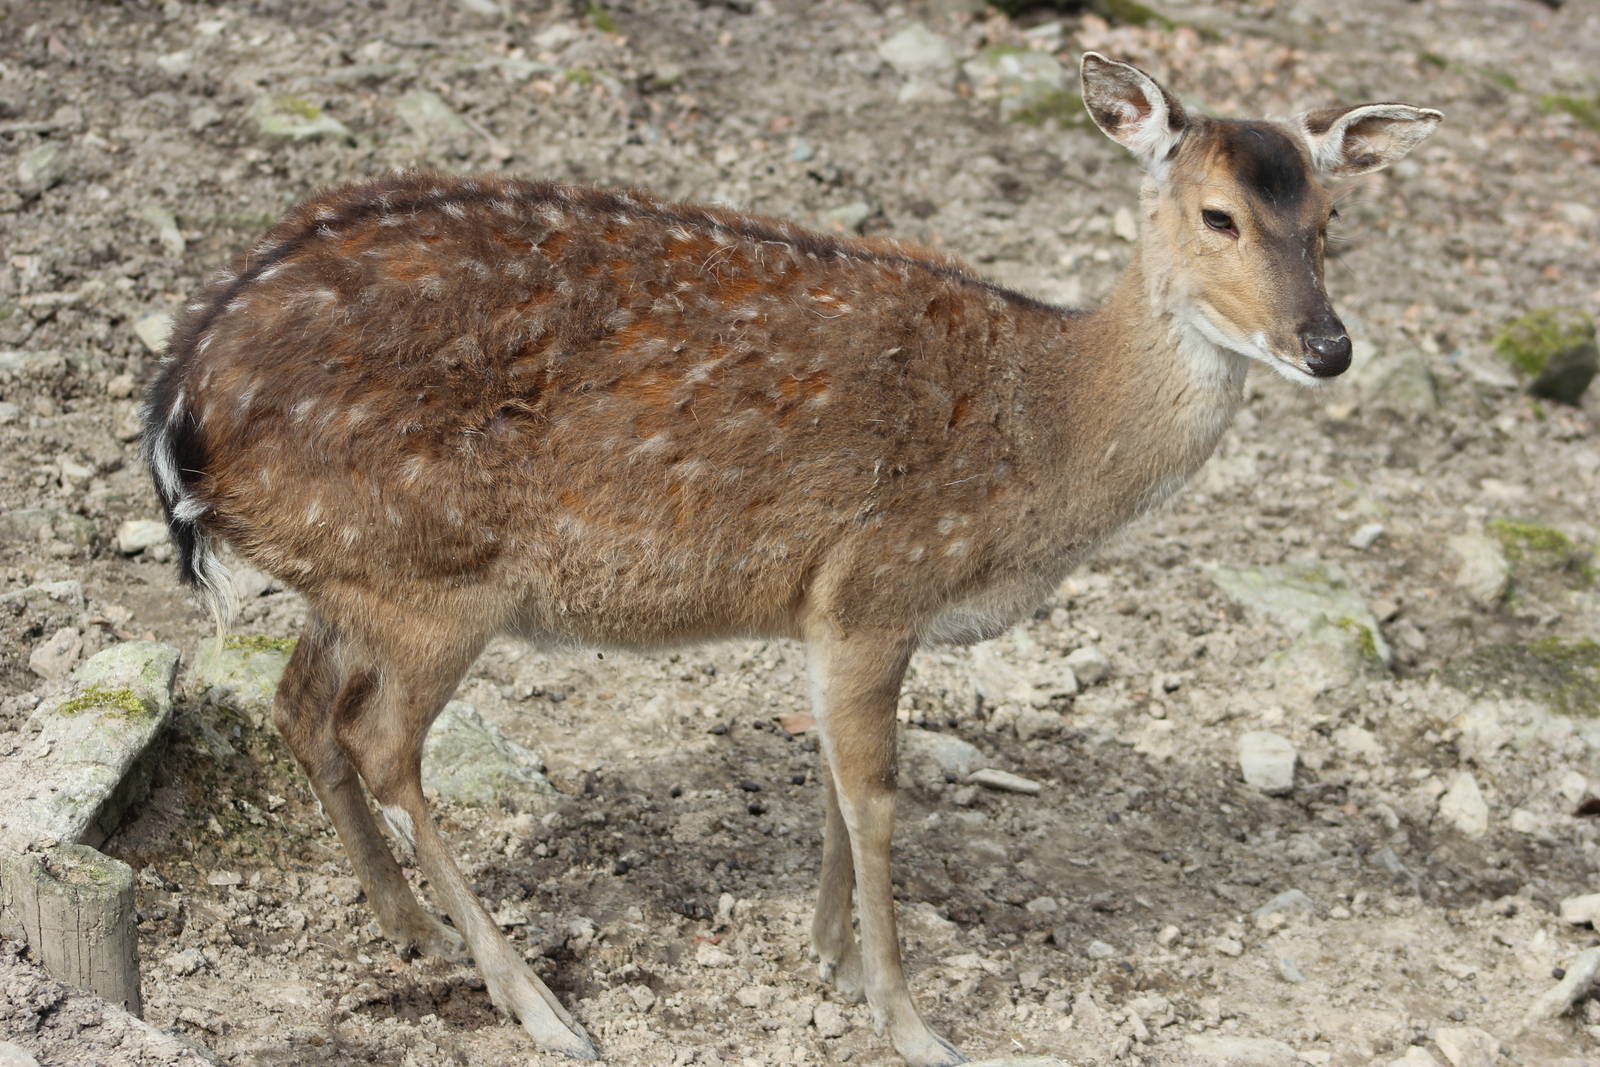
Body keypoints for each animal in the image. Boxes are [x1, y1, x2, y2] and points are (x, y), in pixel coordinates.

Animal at [140, 54, 1439, 1065]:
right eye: (1218, 216)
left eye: (1329, 224)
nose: (1326, 345)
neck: (1043, 440)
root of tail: (181, 398)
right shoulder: (881, 576)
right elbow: (875, 789)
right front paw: (906, 1015)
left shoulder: (828, 608)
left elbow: (824, 772)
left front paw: (825, 956)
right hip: (434, 575)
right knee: (379, 736)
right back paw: (538, 1001)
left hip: (349, 572)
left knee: (296, 700)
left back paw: (408, 925)